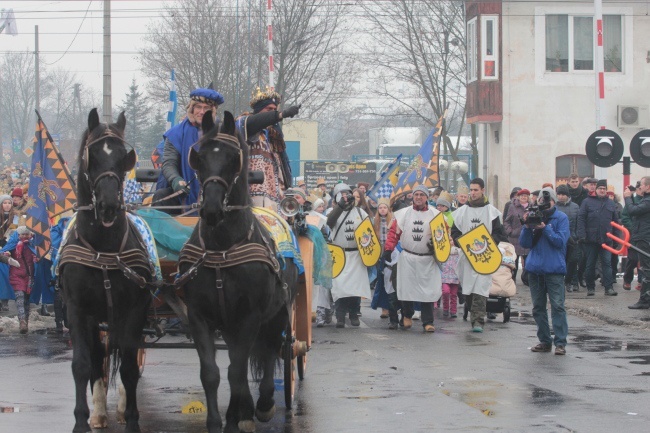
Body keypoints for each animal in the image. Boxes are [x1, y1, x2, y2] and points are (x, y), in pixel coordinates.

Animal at [59, 109, 152, 432]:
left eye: (125, 156)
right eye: (93, 155)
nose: (109, 205)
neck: (103, 250)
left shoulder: (134, 310)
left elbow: (128, 366)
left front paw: (133, 418)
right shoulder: (78, 310)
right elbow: (82, 364)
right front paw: (81, 420)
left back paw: (122, 408)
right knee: (99, 356)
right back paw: (99, 412)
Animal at [178, 111, 298, 432]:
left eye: (233, 158)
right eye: (199, 157)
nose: (211, 210)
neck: (222, 248)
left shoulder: (250, 316)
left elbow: (238, 370)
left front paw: (236, 418)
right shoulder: (199, 316)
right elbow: (213, 372)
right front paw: (217, 421)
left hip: (278, 313)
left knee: (270, 350)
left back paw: (264, 404)